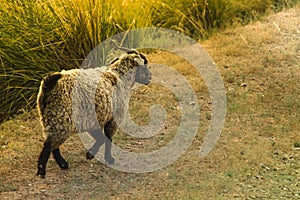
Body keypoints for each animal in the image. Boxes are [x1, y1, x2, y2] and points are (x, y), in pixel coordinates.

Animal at [36, 49, 151, 177]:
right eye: (145, 65)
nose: (150, 78)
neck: (119, 76)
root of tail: (48, 85)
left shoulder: (94, 120)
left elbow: (101, 138)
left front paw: (92, 154)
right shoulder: (113, 119)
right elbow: (107, 138)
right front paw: (104, 157)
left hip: (51, 119)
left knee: (53, 145)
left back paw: (63, 164)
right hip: (61, 117)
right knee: (49, 145)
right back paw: (42, 170)